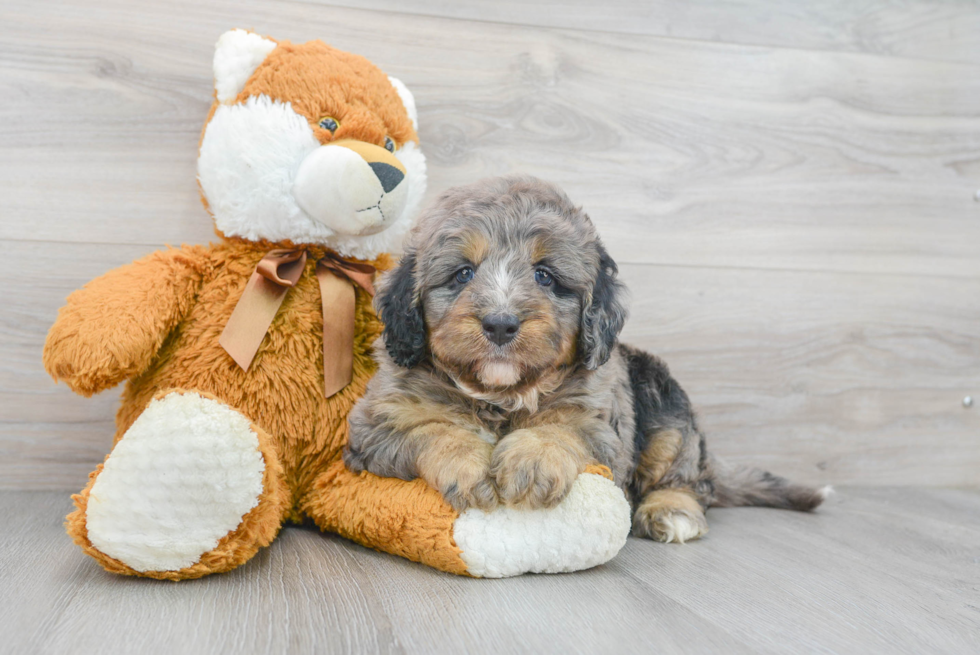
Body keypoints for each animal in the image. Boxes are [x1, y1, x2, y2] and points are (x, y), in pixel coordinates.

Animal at [344, 174, 828, 544]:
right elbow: (431, 428)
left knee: (687, 479)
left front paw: (532, 460)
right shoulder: (375, 426)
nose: (500, 324)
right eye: (463, 273)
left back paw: (672, 511)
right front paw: (469, 464)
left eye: (545, 276)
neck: (500, 396)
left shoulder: (602, 425)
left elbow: (561, 427)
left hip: (668, 411)